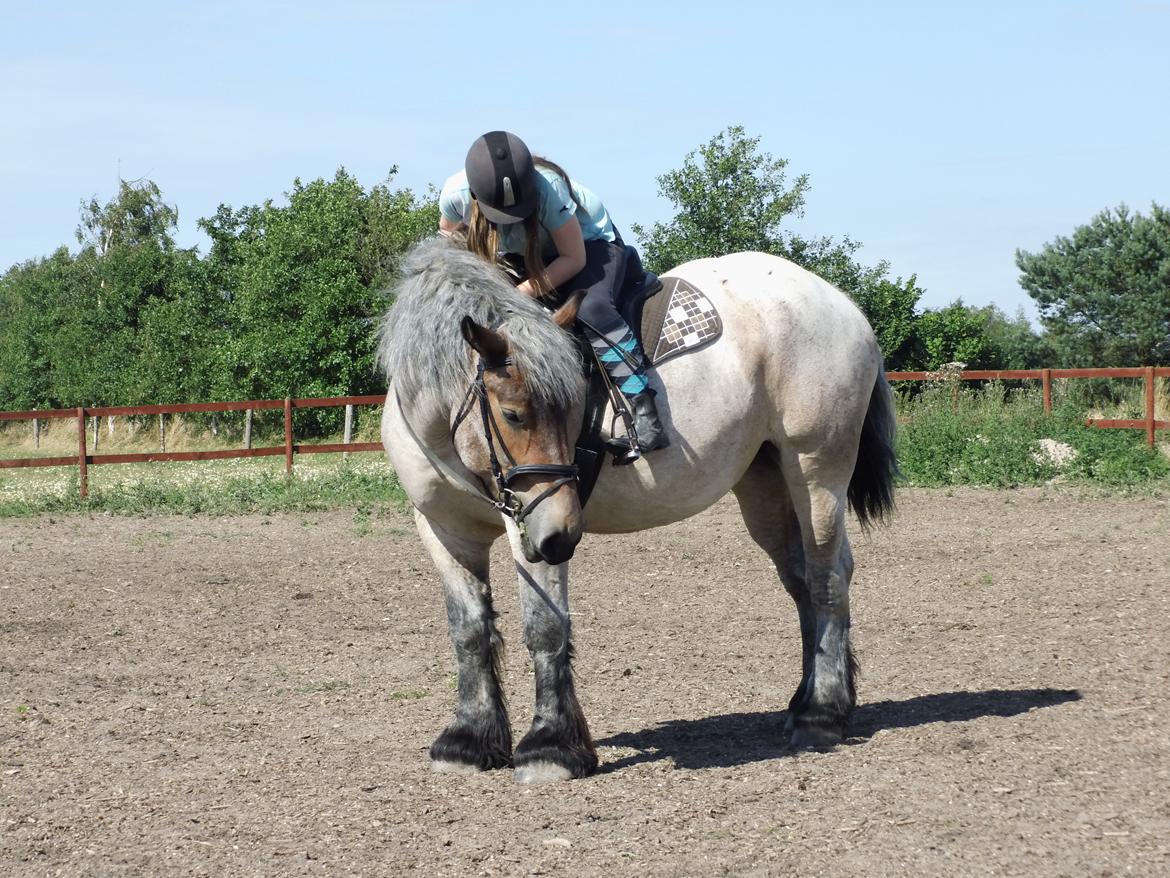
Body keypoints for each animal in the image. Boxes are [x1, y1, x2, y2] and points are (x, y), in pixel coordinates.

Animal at [379, 237, 898, 786]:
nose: (564, 534)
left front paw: (550, 746)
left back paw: (822, 714)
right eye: (514, 414)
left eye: (572, 405)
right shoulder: (444, 529)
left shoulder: (531, 524)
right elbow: (469, 629)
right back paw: (809, 701)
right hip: (766, 484)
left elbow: (544, 626)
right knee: (804, 582)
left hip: (817, 473)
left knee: (827, 580)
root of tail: (840, 303)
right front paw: (468, 738)